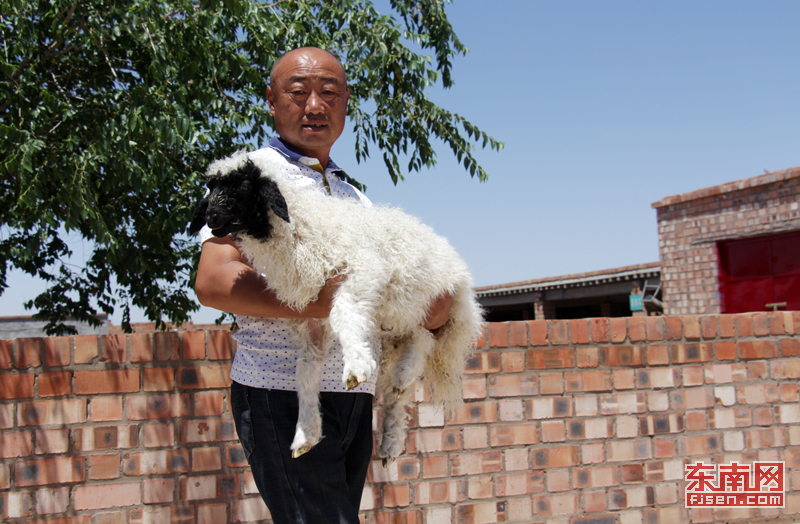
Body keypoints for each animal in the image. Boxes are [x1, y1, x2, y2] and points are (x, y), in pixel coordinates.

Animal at [191, 147, 484, 462]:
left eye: (245, 185)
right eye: (211, 187)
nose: (211, 215)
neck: (299, 232)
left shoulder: (363, 270)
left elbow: (343, 314)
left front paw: (356, 367)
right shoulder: (309, 323)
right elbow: (305, 373)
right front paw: (305, 434)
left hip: (432, 303)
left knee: (422, 338)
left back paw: (404, 374)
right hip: (395, 329)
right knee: (398, 393)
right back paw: (391, 438)